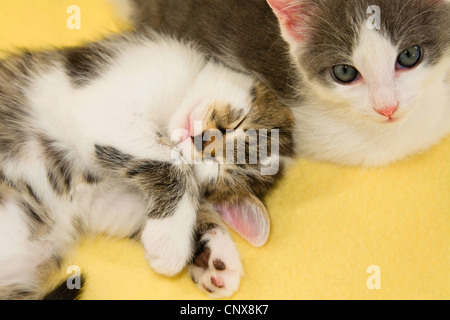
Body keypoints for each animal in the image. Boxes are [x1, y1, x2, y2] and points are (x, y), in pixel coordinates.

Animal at [0, 30, 294, 300]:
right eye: (238, 123)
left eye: (218, 169)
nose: (203, 141)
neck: (170, 110)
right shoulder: (105, 101)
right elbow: (172, 160)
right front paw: (172, 242)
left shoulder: (101, 203)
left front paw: (212, 254)